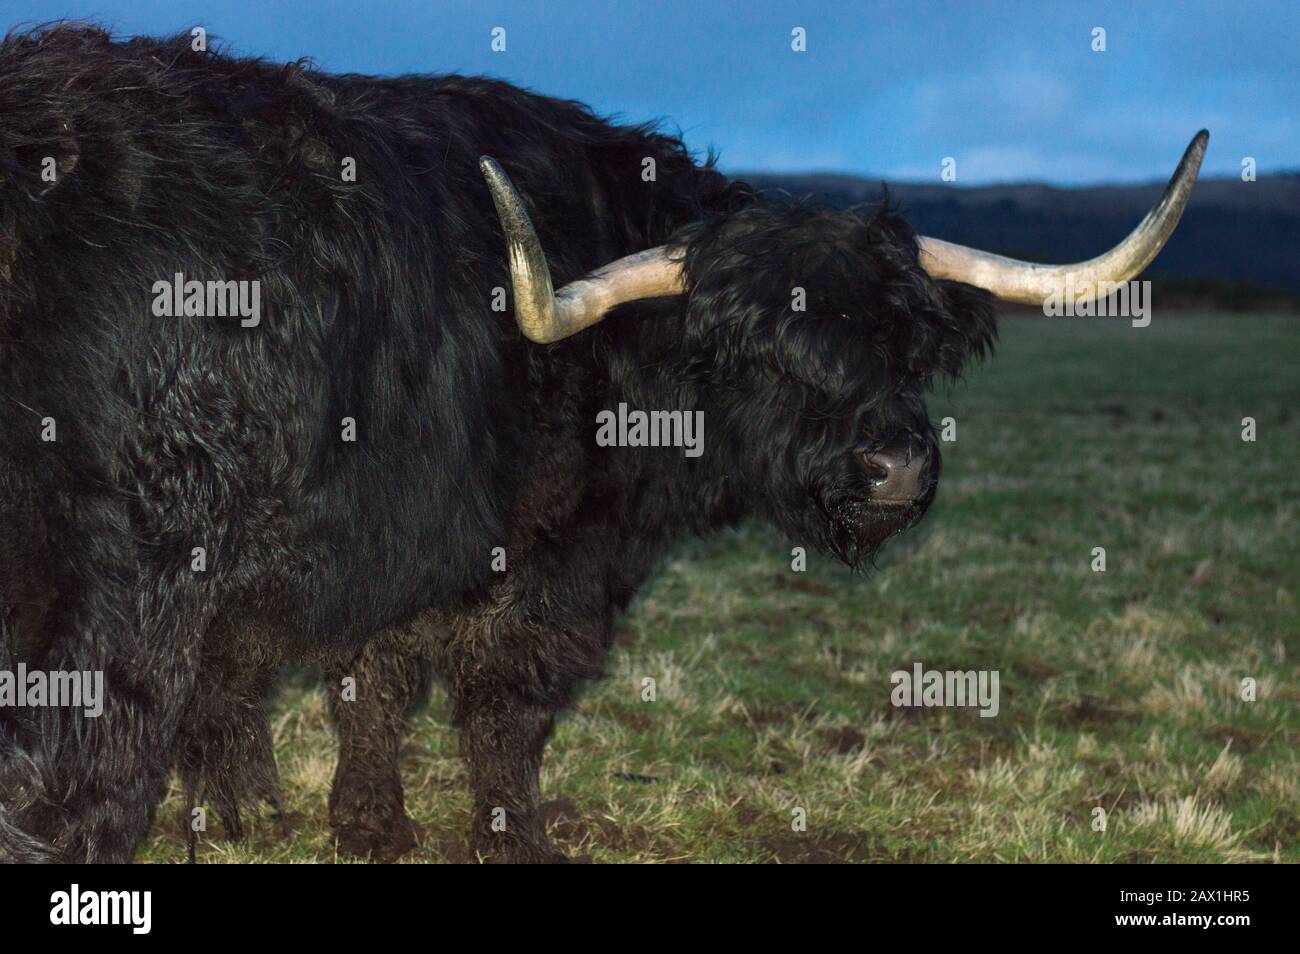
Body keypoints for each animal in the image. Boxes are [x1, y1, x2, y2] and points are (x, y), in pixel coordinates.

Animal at [0, 26, 1206, 863]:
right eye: (762, 350)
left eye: (904, 340)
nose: (896, 469)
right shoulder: (544, 556)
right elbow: (500, 707)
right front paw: (508, 837)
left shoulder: (394, 543)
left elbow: (357, 686)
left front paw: (332, 820)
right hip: (116, 583)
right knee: (78, 759)